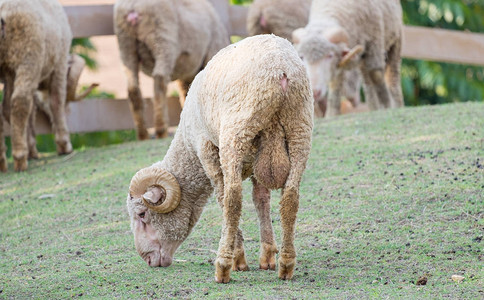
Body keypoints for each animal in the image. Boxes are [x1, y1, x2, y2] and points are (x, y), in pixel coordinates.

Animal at [0, 0, 73, 171]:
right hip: (28, 55)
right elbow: (56, 102)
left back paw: (3, 161)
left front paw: (31, 148)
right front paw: (64, 144)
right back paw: (19, 158)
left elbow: (26, 112)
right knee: (20, 101)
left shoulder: (9, 73)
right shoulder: (60, 63)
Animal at [113, 0, 229, 139]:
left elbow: (186, 92)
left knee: (133, 89)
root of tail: (132, 7)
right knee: (159, 81)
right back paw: (161, 130)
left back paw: (143, 134)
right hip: (163, 38)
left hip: (126, 45)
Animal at [125, 35, 314, 284]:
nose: (147, 259)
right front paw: (267, 256)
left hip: (235, 134)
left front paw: (239, 259)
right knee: (291, 197)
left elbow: (223, 198)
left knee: (233, 200)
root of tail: (281, 73)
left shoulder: (206, 150)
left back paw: (223, 266)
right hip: (299, 129)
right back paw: (286, 264)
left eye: (142, 214)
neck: (188, 148)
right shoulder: (255, 160)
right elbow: (261, 199)